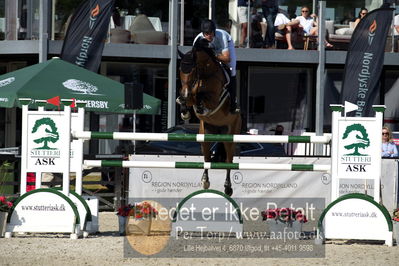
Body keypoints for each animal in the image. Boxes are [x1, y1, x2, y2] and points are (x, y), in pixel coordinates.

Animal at [177, 38, 241, 195]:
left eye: (193, 70)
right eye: (180, 70)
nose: (185, 92)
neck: (205, 75)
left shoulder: (213, 100)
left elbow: (201, 97)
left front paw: (199, 107)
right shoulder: (189, 94)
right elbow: (186, 99)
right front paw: (184, 111)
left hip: (230, 137)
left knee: (229, 161)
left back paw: (228, 187)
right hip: (205, 135)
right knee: (206, 158)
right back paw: (205, 181)